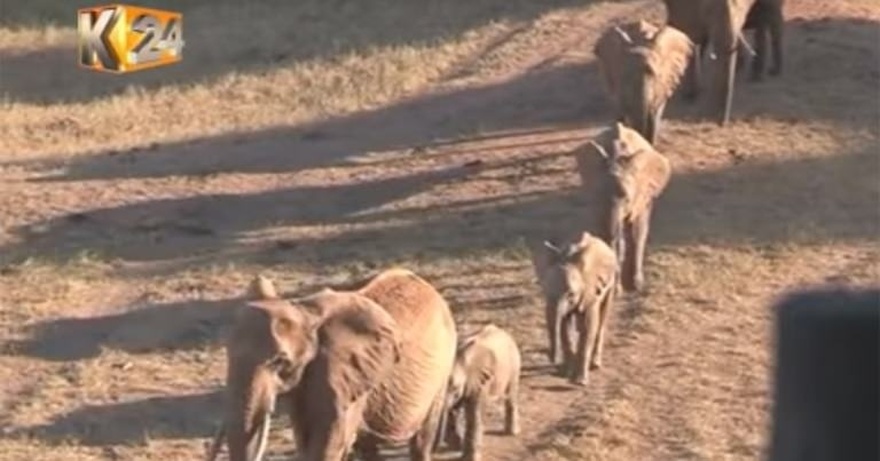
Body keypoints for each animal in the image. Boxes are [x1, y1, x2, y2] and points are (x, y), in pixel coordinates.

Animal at [209, 268, 458, 458]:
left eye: (280, 362)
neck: (304, 312)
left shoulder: (342, 375)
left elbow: (329, 444)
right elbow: (306, 441)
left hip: (442, 370)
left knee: (422, 440)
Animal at [440, 324, 524, 460]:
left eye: (454, 387)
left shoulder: (482, 380)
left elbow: (474, 415)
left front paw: (469, 458)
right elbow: (454, 410)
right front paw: (456, 447)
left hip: (514, 364)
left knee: (511, 396)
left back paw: (512, 433)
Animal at [528, 230, 620, 384]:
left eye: (571, 294)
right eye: (545, 290)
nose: (552, 359)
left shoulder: (591, 290)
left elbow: (589, 326)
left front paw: (580, 382)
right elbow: (564, 325)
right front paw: (566, 374)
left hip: (612, 281)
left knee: (602, 317)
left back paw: (595, 364)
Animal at [576, 122, 672, 292]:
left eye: (627, 199)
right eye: (597, 195)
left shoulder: (643, 194)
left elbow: (638, 232)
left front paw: (636, 285)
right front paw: (616, 290)